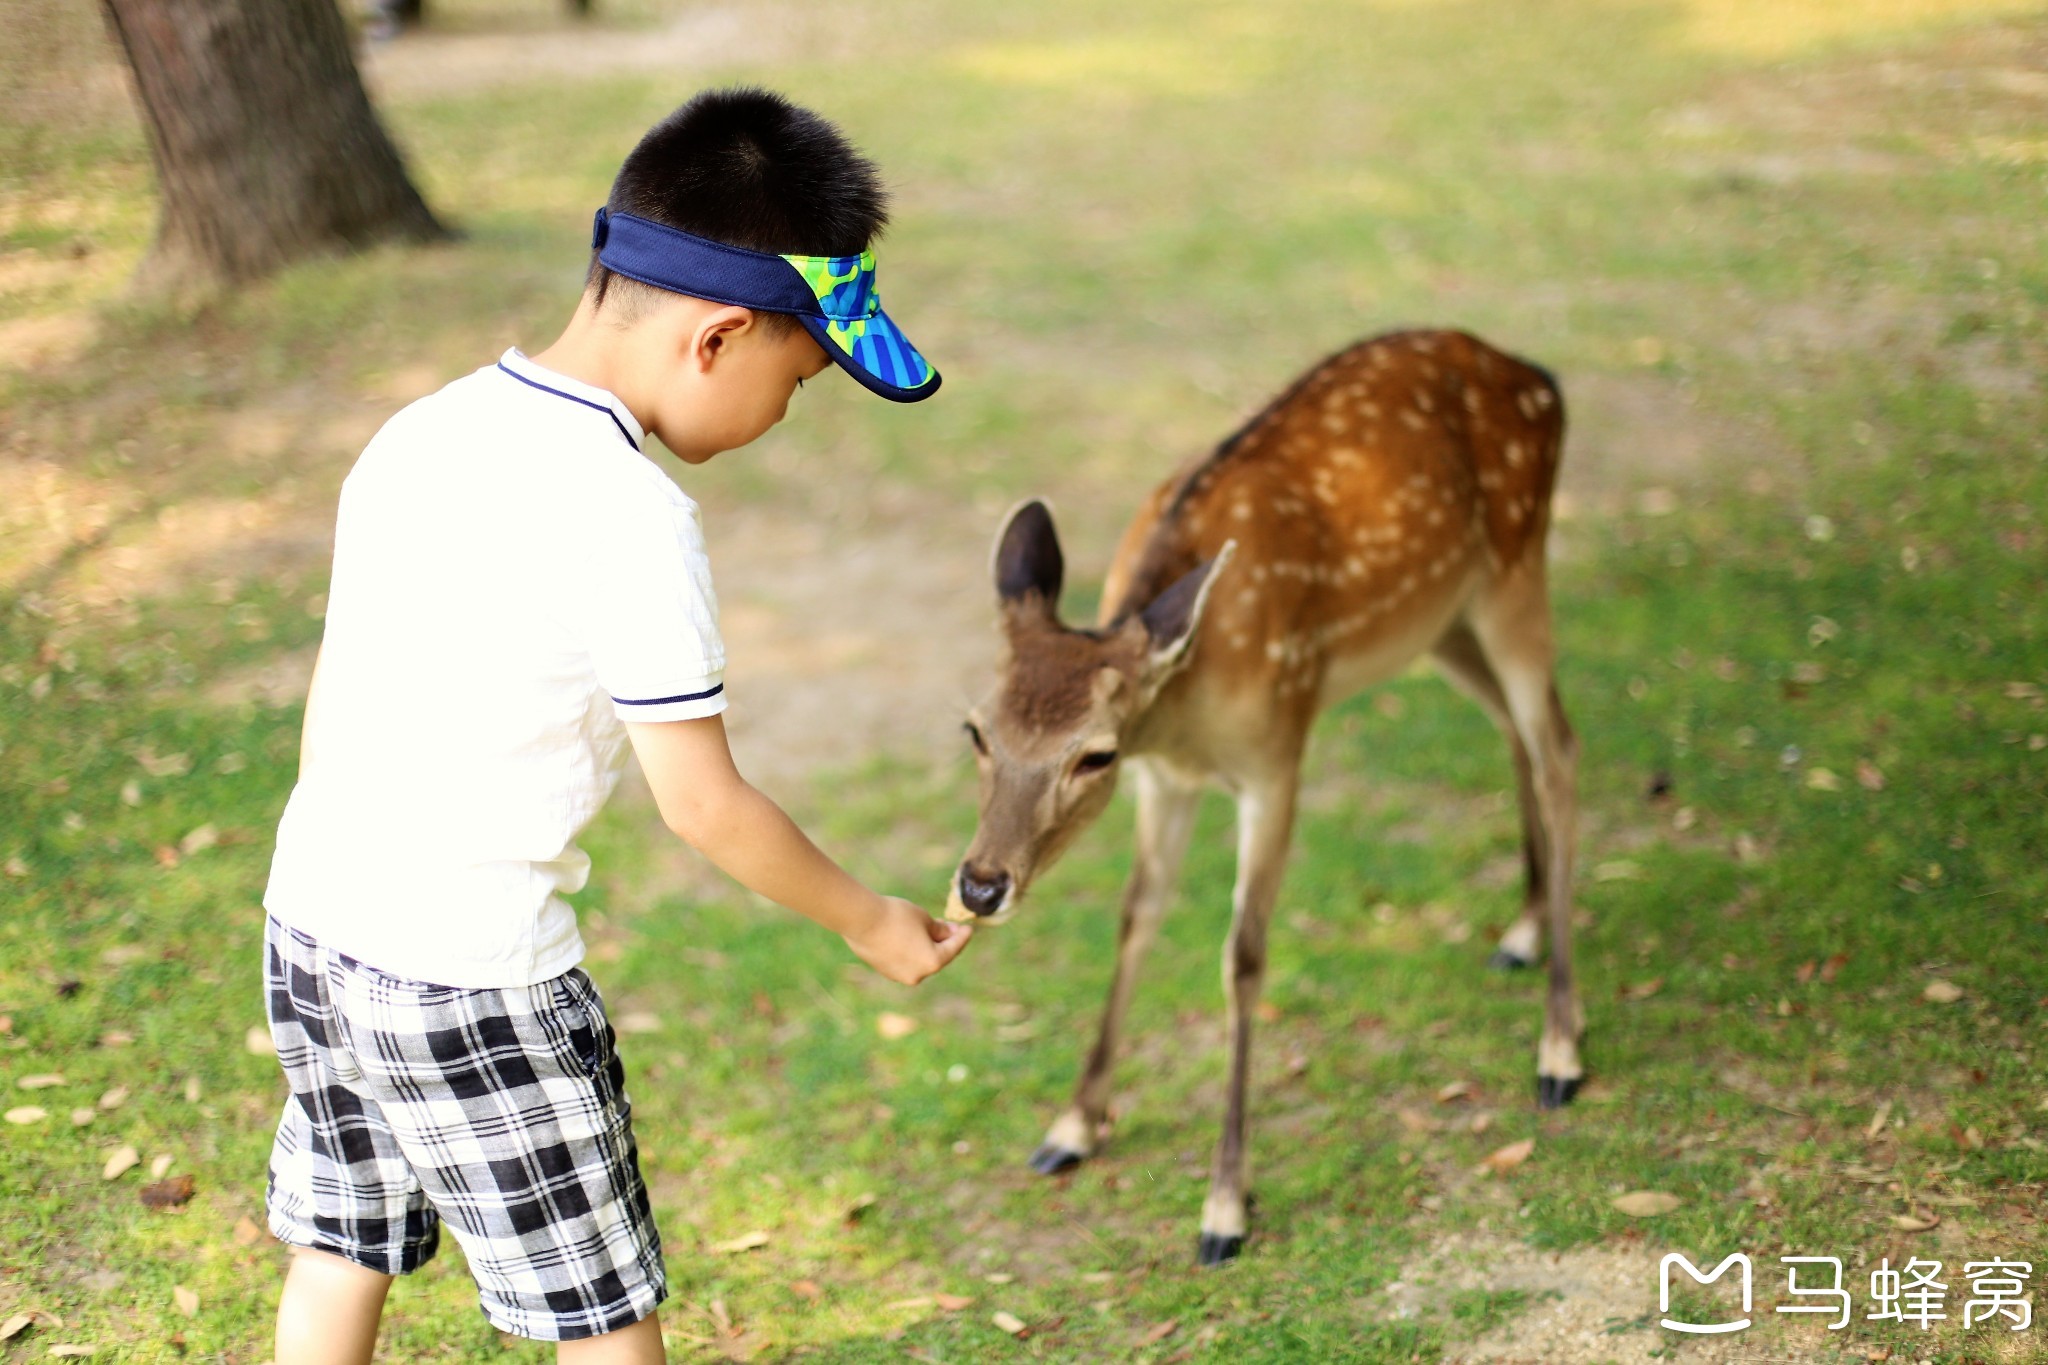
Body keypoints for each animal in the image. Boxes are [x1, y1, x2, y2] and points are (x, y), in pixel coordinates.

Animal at [946, 325, 1581, 1268]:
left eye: (1093, 755)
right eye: (977, 728)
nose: (982, 885)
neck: (1186, 714)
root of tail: (1541, 378)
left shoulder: (1278, 752)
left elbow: (1244, 955)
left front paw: (1223, 1208)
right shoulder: (1166, 783)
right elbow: (1138, 913)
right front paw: (1071, 1126)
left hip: (1516, 571)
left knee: (1560, 749)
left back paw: (1560, 1050)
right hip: (1442, 622)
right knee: (1514, 731)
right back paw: (1522, 931)